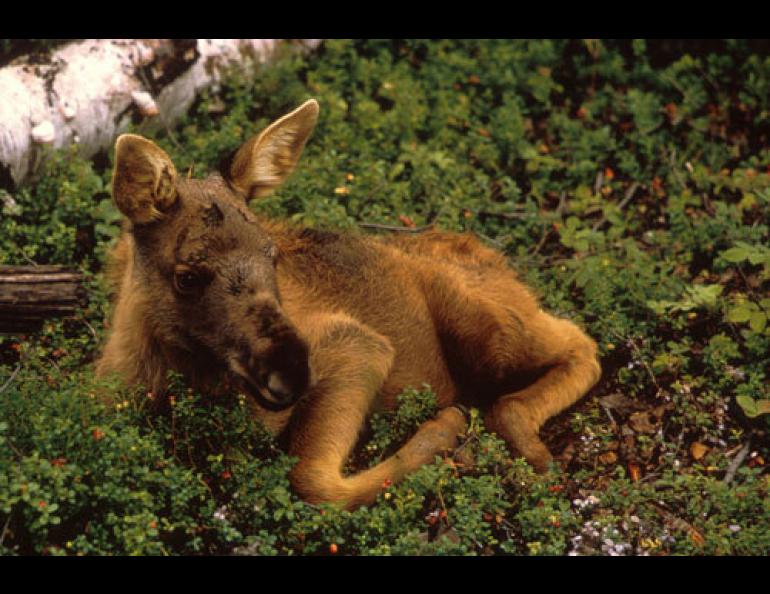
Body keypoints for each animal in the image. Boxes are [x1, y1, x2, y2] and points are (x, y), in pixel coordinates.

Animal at [97, 99, 600, 506]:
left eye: (272, 255)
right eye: (186, 276)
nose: (291, 371)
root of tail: (497, 260)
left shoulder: (357, 344)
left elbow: (313, 480)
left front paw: (443, 431)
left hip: (491, 334)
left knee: (579, 346)